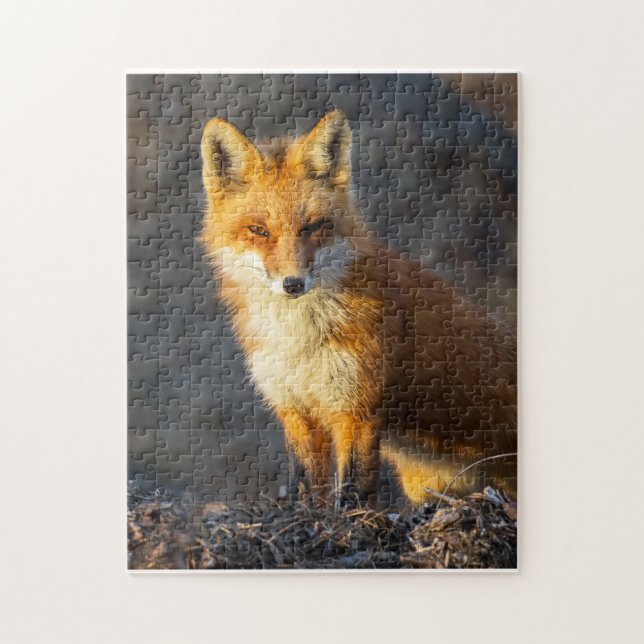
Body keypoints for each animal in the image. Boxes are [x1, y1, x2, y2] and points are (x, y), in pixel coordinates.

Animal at [200, 110, 517, 505]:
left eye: (312, 227)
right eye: (258, 230)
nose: (293, 284)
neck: (300, 340)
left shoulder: (356, 411)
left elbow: (353, 494)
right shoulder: (296, 411)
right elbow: (307, 493)